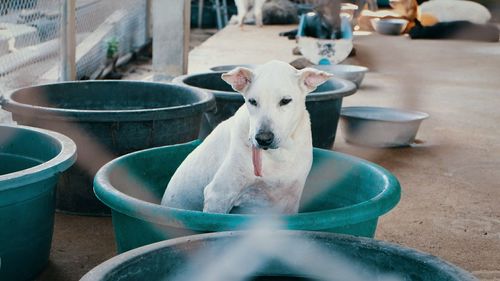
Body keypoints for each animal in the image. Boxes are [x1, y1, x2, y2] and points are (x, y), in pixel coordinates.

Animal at [161, 60, 332, 212]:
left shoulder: (290, 202)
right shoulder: (218, 195)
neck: (277, 156)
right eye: (252, 101)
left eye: (285, 101)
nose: (263, 138)